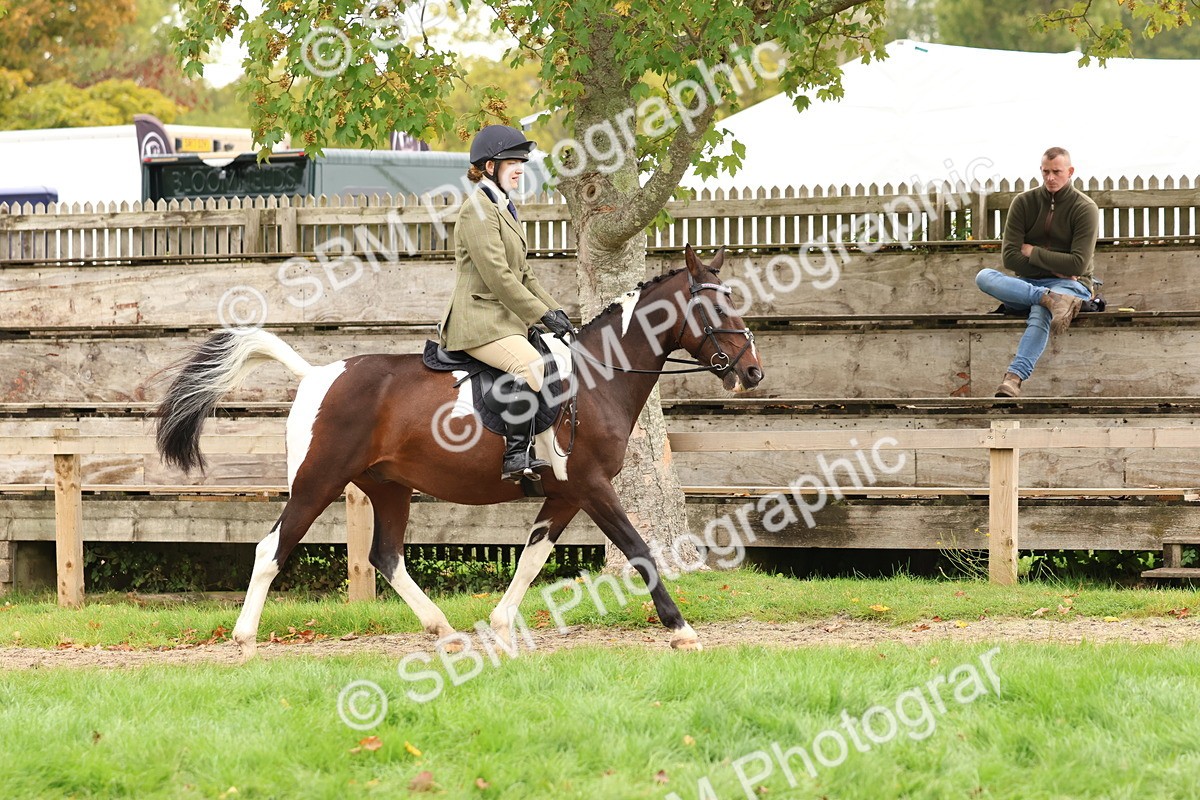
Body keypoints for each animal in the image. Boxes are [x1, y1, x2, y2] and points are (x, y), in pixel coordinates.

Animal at [155, 245, 764, 657]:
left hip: (389, 487)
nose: (753, 373)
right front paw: (682, 630)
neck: (596, 379)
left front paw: (500, 626)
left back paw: (443, 630)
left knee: (386, 556)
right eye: (716, 311)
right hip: (316, 482)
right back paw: (245, 640)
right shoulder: (591, 485)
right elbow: (638, 548)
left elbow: (533, 557)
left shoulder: (565, 494)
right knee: (271, 549)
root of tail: (317, 374)